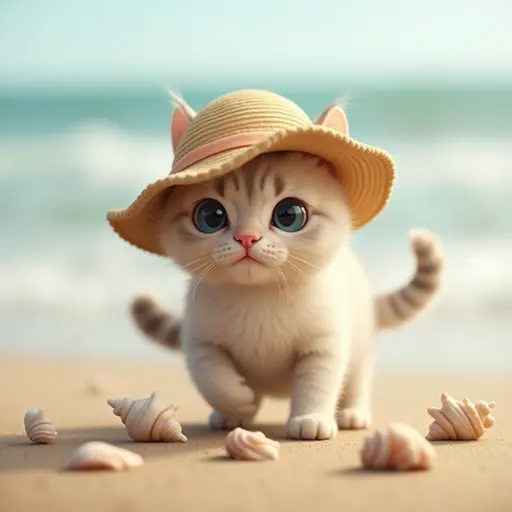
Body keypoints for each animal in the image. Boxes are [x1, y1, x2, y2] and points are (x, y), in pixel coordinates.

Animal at [129, 149, 444, 440]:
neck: (258, 298)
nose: (247, 237)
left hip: (360, 346)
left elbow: (317, 385)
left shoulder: (324, 344)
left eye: (288, 215)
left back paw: (353, 413)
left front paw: (311, 419)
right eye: (210, 216)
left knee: (357, 380)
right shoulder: (200, 342)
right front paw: (239, 400)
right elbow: (213, 378)